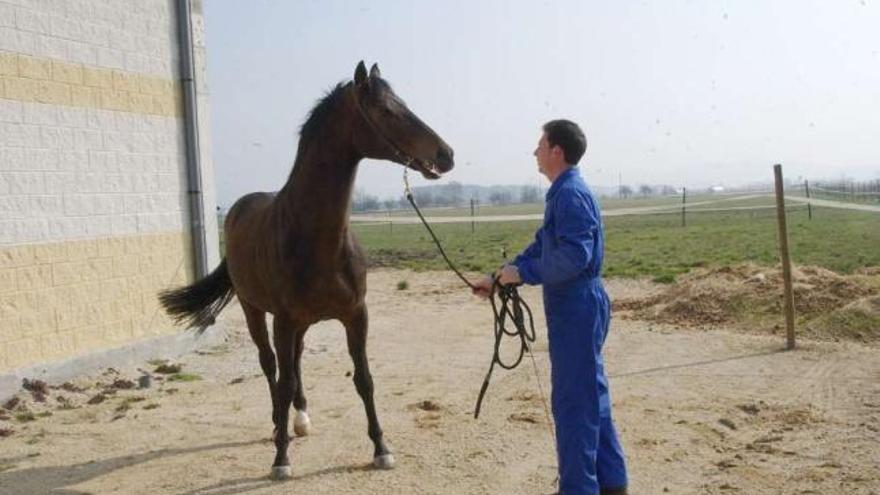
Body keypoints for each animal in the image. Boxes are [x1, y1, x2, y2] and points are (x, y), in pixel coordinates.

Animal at [159, 62, 458, 480]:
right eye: (385, 110)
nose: (445, 154)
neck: (316, 238)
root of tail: (237, 210)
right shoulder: (284, 319)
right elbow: (283, 382)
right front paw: (281, 459)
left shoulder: (355, 315)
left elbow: (364, 380)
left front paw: (381, 448)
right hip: (257, 312)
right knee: (271, 366)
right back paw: (277, 425)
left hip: (299, 324)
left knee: (296, 361)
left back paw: (299, 418)